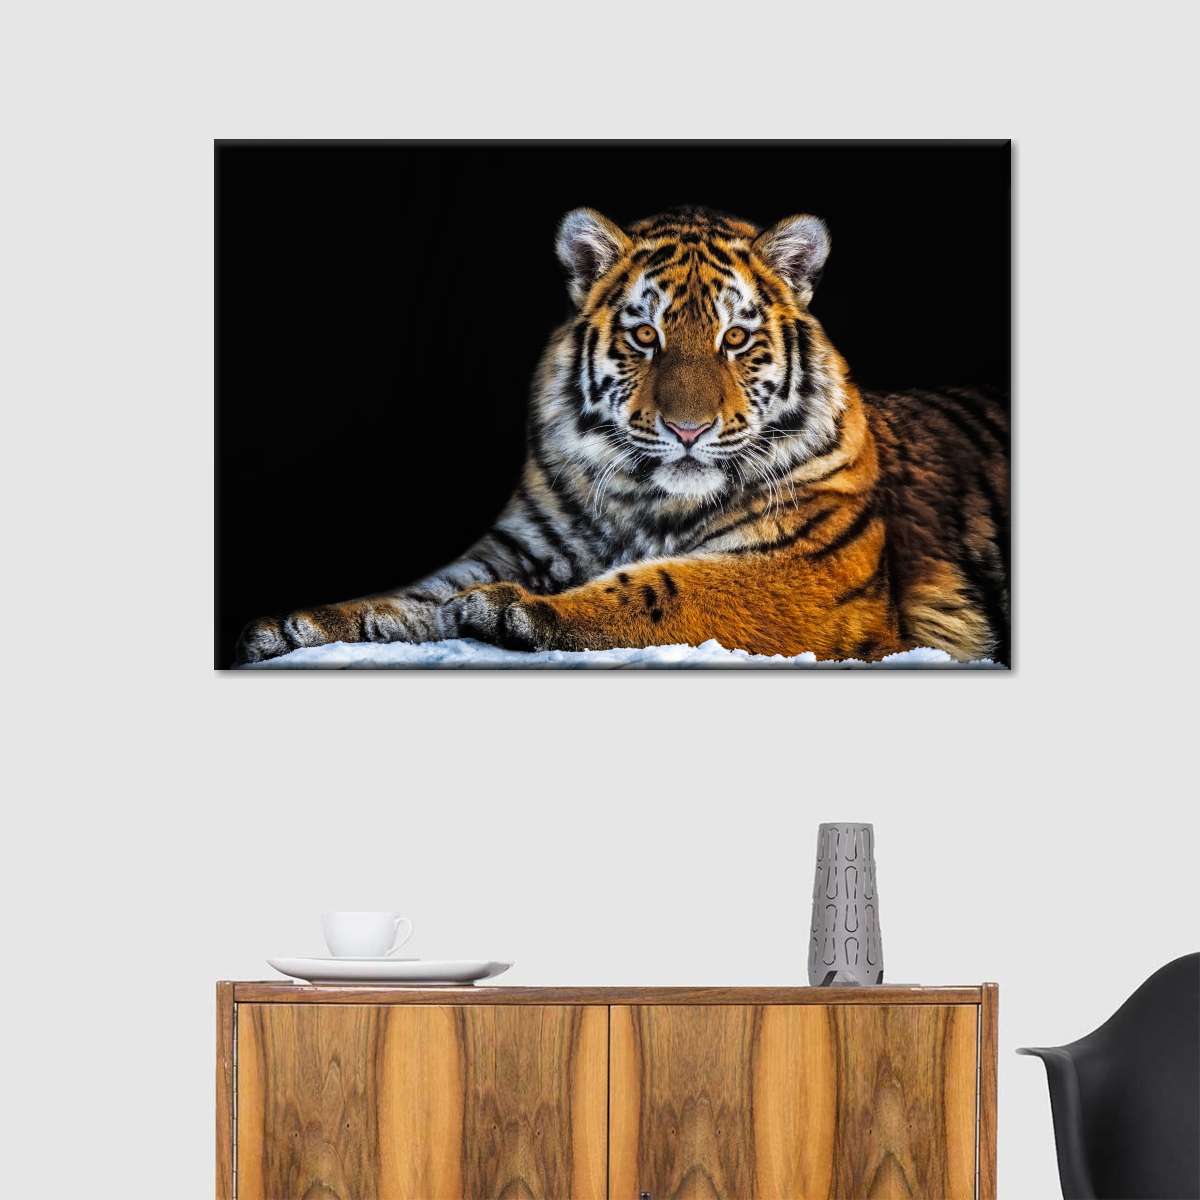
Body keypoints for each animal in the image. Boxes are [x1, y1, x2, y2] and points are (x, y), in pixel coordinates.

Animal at [236, 205, 1009, 666]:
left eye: (735, 340)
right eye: (645, 336)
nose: (688, 429)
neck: (645, 501)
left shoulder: (805, 570)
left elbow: (667, 589)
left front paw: (513, 611)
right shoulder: (517, 546)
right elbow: (415, 595)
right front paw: (301, 624)